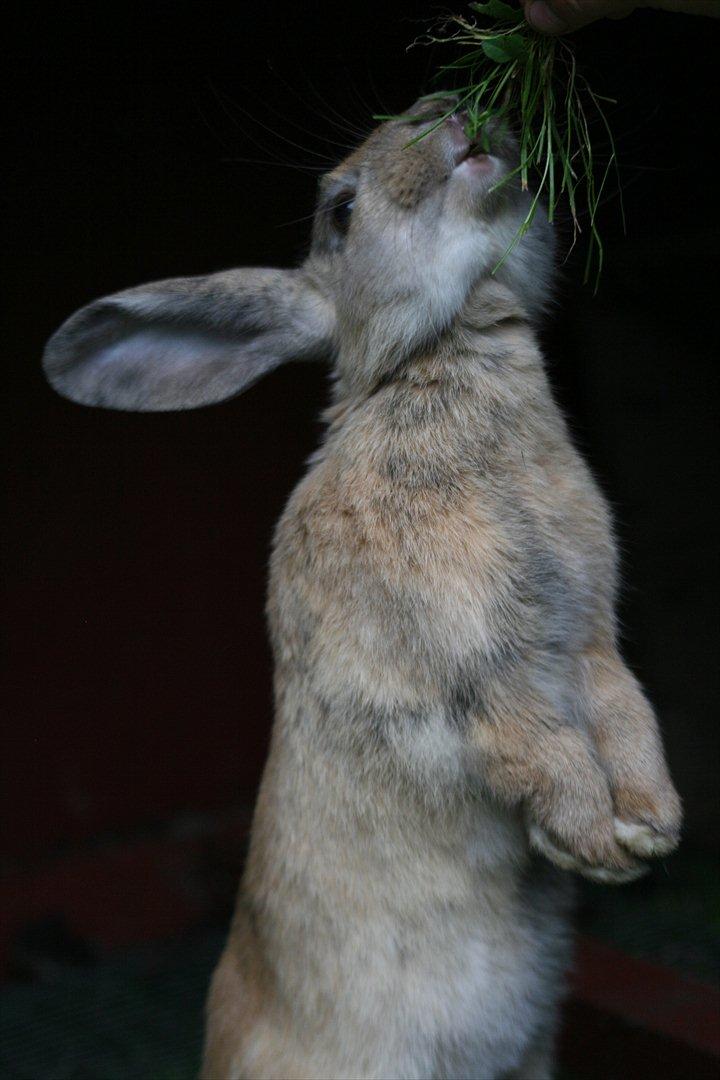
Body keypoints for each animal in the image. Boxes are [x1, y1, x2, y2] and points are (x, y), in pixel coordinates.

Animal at [42, 97, 686, 1075]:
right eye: (341, 212)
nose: (454, 114)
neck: (443, 358)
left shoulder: (590, 637)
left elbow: (623, 708)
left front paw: (651, 826)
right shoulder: (476, 663)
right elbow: (533, 739)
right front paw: (592, 841)